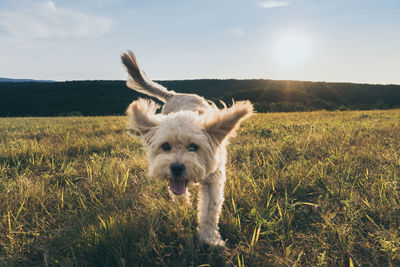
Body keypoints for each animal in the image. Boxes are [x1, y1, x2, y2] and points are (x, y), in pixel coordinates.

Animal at [122, 50, 253, 247]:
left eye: (193, 147)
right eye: (165, 146)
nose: (176, 168)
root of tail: (174, 94)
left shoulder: (214, 179)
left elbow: (210, 209)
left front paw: (210, 237)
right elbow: (179, 195)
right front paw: (183, 209)